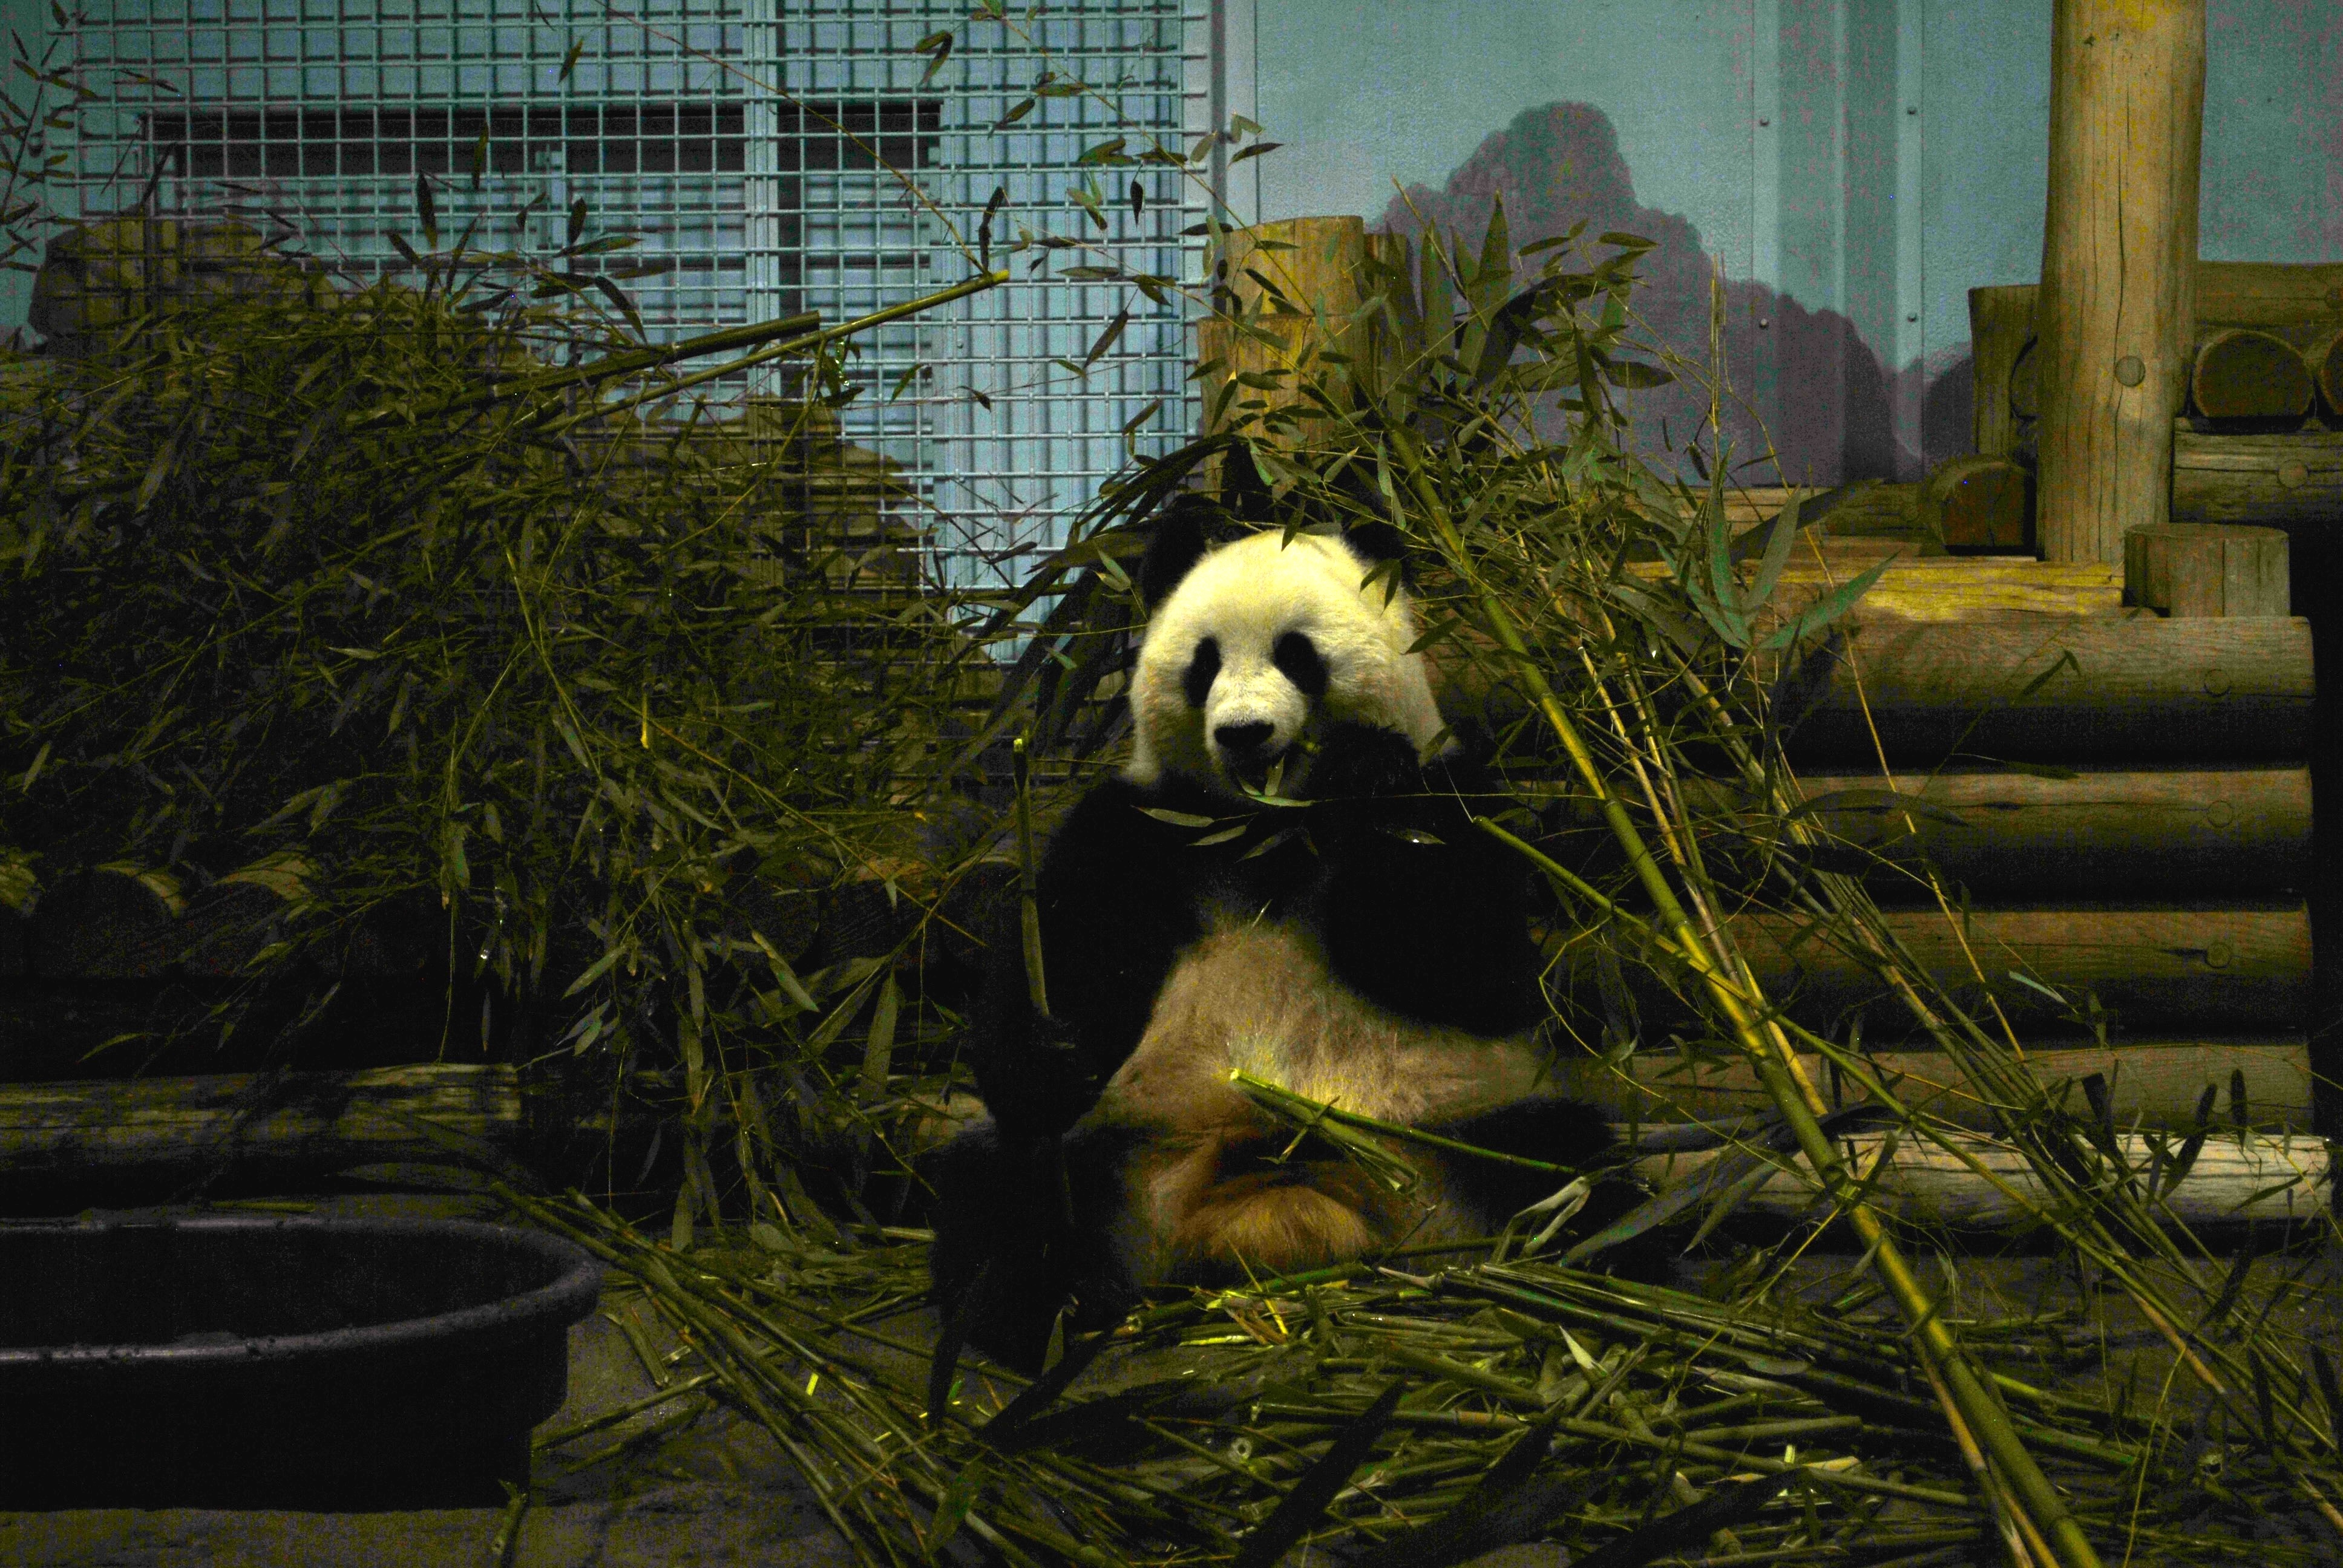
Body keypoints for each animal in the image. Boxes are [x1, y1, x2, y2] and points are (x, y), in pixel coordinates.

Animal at [930, 502, 1619, 1369]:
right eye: (1204, 662)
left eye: (1297, 654)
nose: (1243, 733)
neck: (1269, 830)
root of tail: (1282, 1217)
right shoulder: (1141, 828)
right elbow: (1065, 959)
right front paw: (1053, 1050)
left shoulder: (1458, 792)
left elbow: (1479, 967)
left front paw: (1366, 775)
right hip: (1131, 1149)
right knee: (999, 1183)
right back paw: (1046, 1311)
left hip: (1456, 1136)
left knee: (1573, 1174)